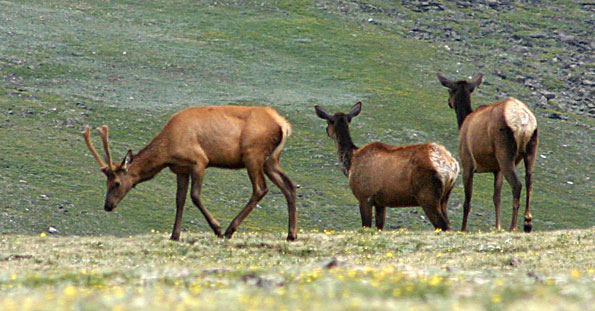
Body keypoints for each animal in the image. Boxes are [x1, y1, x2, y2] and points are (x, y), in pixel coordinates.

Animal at [82, 106, 298, 241]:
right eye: (106, 183)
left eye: (116, 183)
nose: (108, 206)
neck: (167, 151)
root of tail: (284, 124)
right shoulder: (180, 169)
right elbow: (179, 200)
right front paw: (174, 235)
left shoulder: (199, 161)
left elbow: (195, 196)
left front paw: (217, 228)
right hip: (271, 160)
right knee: (289, 186)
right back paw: (291, 234)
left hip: (253, 154)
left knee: (260, 188)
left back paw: (230, 230)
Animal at [316, 102, 460, 232]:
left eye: (328, 122)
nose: (326, 130)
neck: (350, 163)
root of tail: (452, 166)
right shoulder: (381, 203)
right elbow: (379, 227)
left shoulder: (364, 196)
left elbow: (366, 226)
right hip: (445, 197)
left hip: (427, 194)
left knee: (443, 225)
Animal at [438, 73, 540, 234]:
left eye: (450, 91)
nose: (449, 102)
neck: (463, 122)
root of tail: (524, 122)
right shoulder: (497, 169)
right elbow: (496, 198)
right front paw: (497, 226)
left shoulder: (467, 163)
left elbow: (467, 201)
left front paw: (463, 229)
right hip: (531, 147)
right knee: (529, 180)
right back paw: (527, 223)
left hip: (504, 151)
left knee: (517, 185)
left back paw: (513, 226)